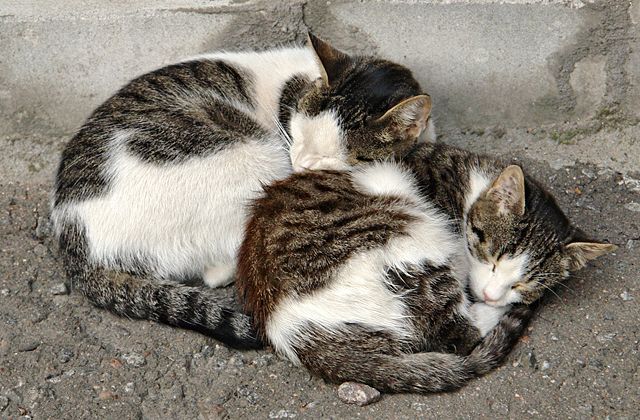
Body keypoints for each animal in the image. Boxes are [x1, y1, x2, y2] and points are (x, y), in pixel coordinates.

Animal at [51, 32, 436, 350]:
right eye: (301, 132)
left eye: (331, 155)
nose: (301, 163)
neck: (293, 89)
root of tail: (77, 245)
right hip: (253, 159)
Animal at [236, 140, 616, 390]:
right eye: (492, 256)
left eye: (523, 283)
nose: (493, 295)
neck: (469, 188)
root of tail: (283, 326)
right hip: (412, 236)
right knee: (460, 333)